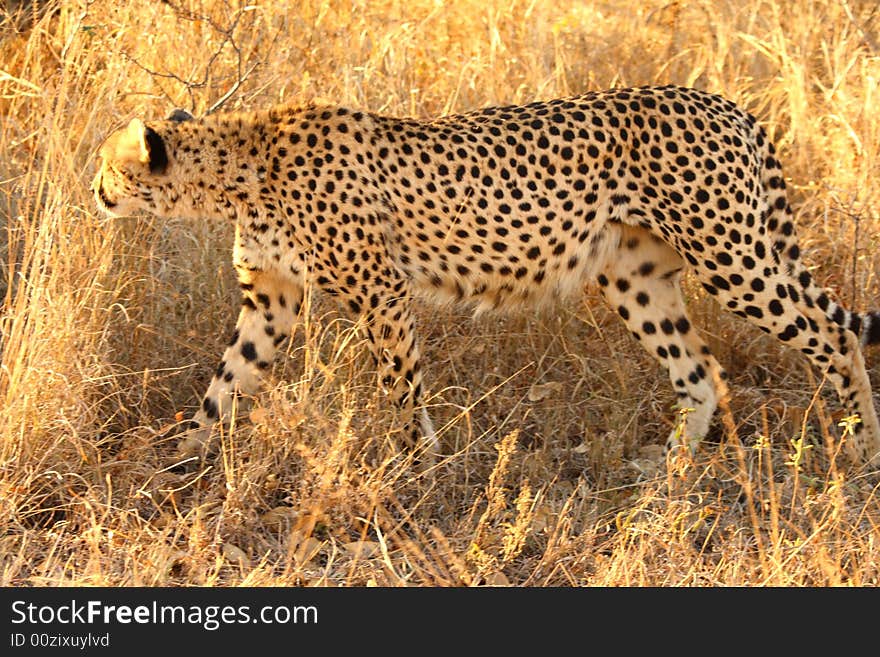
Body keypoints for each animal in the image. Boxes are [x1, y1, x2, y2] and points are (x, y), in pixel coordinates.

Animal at [94, 87, 880, 464]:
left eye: (108, 164)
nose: (93, 191)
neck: (239, 165)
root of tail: (721, 100)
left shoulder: (382, 292)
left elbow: (401, 387)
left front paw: (414, 466)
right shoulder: (272, 302)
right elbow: (225, 381)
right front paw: (179, 460)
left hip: (731, 255)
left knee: (834, 337)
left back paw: (860, 444)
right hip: (636, 277)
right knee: (700, 371)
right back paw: (668, 472)